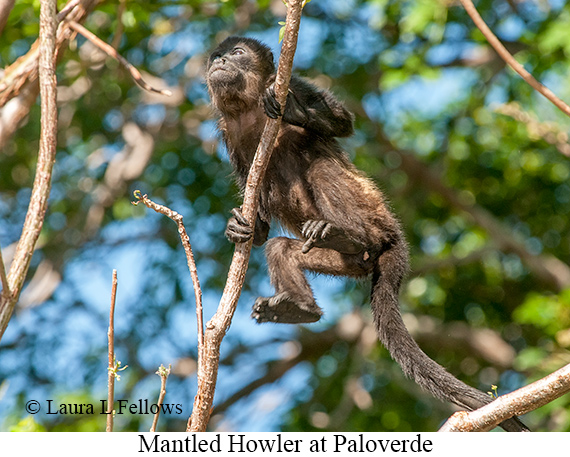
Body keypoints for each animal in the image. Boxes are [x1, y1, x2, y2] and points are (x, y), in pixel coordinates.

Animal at [205, 36, 528, 432]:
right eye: (216, 57)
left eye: (236, 54)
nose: (219, 62)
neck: (247, 107)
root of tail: (392, 241)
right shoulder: (227, 133)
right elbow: (260, 220)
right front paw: (240, 227)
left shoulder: (293, 82)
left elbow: (343, 124)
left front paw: (297, 113)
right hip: (349, 264)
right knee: (282, 248)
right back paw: (303, 305)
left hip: (376, 219)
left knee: (321, 167)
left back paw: (352, 235)